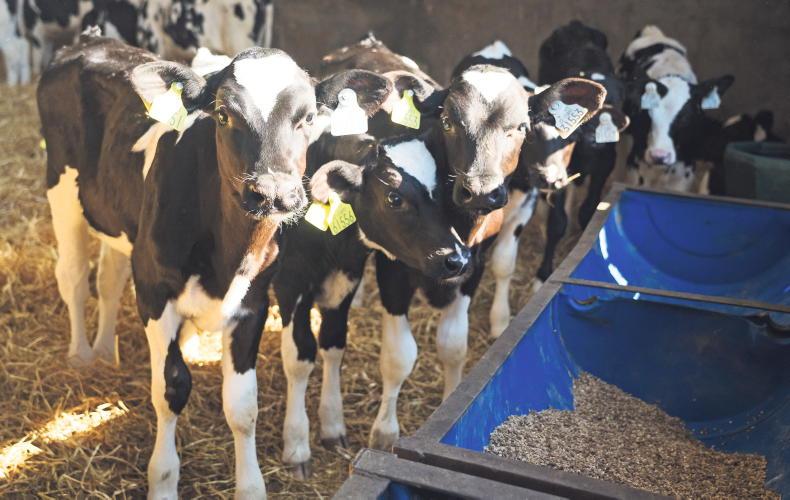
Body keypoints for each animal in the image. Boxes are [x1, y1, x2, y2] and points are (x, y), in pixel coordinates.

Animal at [38, 32, 393, 498]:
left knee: (109, 277)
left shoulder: (254, 303)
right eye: (224, 115)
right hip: (62, 192)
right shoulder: (153, 290)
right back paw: (81, 355)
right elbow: (170, 388)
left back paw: (103, 352)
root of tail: (88, 39)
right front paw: (163, 481)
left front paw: (251, 486)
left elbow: (243, 406)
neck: (228, 255)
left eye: (308, 117)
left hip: (115, 219)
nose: (273, 193)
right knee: (75, 278)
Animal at [274, 133, 471, 478]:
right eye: (394, 197)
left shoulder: (345, 278)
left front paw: (332, 424)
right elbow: (299, 359)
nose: (457, 258)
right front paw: (296, 445)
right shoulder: (290, 282)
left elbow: (333, 344)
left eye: (445, 192)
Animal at [619, 25, 734, 192]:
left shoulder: (683, 175)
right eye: (645, 114)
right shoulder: (635, 169)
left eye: (686, 117)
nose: (659, 155)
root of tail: (654, 33)